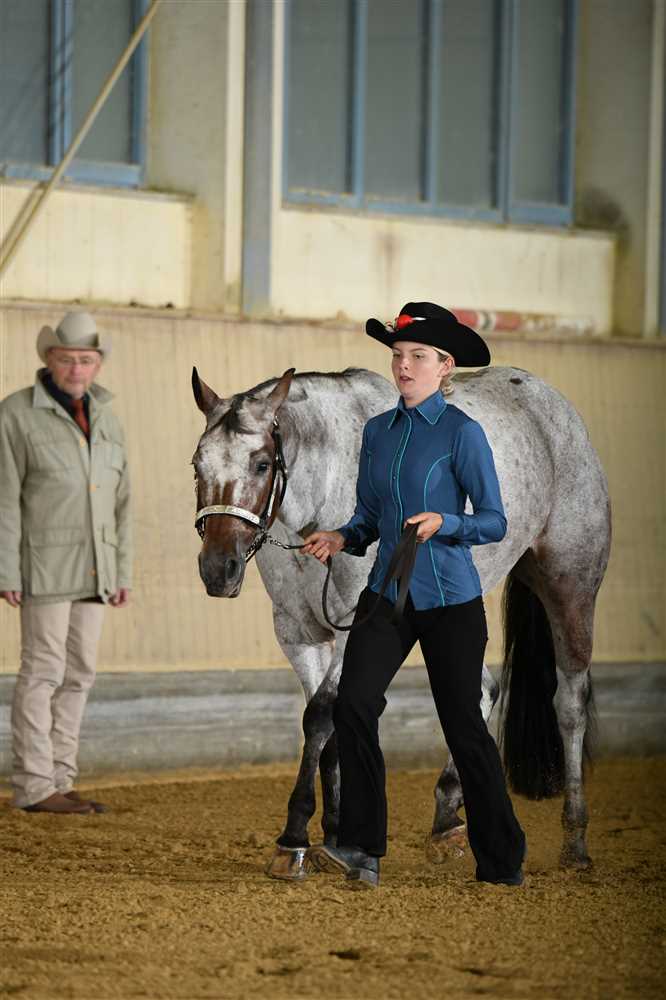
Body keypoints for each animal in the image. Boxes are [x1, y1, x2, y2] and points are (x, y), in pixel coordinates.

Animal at [191, 365, 611, 879]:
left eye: (262, 464)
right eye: (197, 466)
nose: (218, 569)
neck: (325, 492)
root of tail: (552, 406)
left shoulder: (355, 624)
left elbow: (321, 716)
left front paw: (293, 841)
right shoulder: (299, 633)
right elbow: (329, 727)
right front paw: (335, 835)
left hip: (571, 586)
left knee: (569, 704)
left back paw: (575, 842)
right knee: (480, 691)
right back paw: (447, 818)